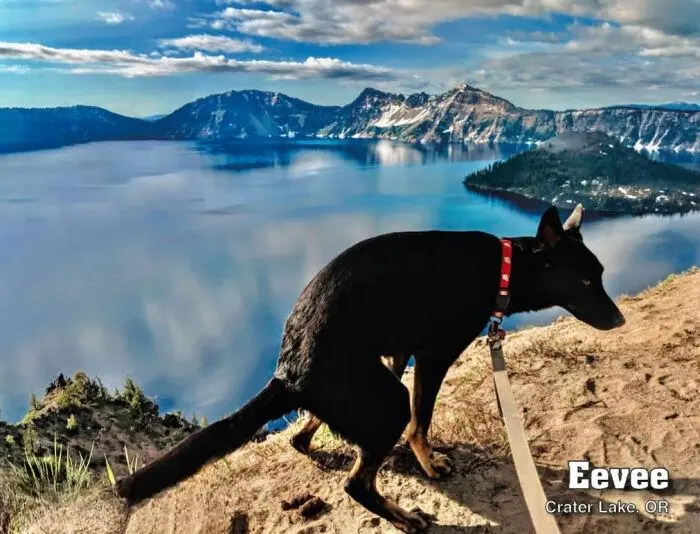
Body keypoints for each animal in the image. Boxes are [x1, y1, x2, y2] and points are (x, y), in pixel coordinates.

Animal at [117, 205, 628, 534]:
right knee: (356, 482)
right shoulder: (434, 356)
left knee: (306, 438)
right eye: (586, 281)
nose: (621, 321)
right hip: (386, 399)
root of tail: (289, 369)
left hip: (367, 385)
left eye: (601, 274)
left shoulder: (398, 352)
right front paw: (429, 463)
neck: (501, 269)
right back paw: (404, 517)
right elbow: (422, 422)